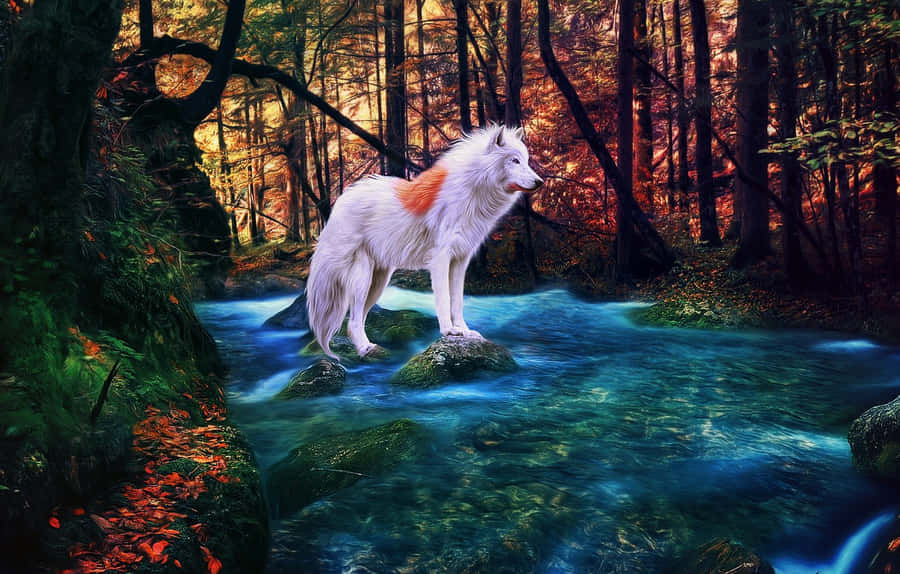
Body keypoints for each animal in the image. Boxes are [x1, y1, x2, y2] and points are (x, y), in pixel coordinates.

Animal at [306, 124, 544, 358]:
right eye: (515, 160)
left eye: (526, 160)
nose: (540, 182)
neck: (472, 190)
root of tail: (340, 202)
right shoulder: (440, 259)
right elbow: (443, 300)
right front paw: (449, 331)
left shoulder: (460, 261)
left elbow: (457, 301)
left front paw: (464, 331)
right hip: (362, 279)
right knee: (353, 320)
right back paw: (365, 349)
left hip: (378, 282)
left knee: (357, 319)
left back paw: (369, 347)